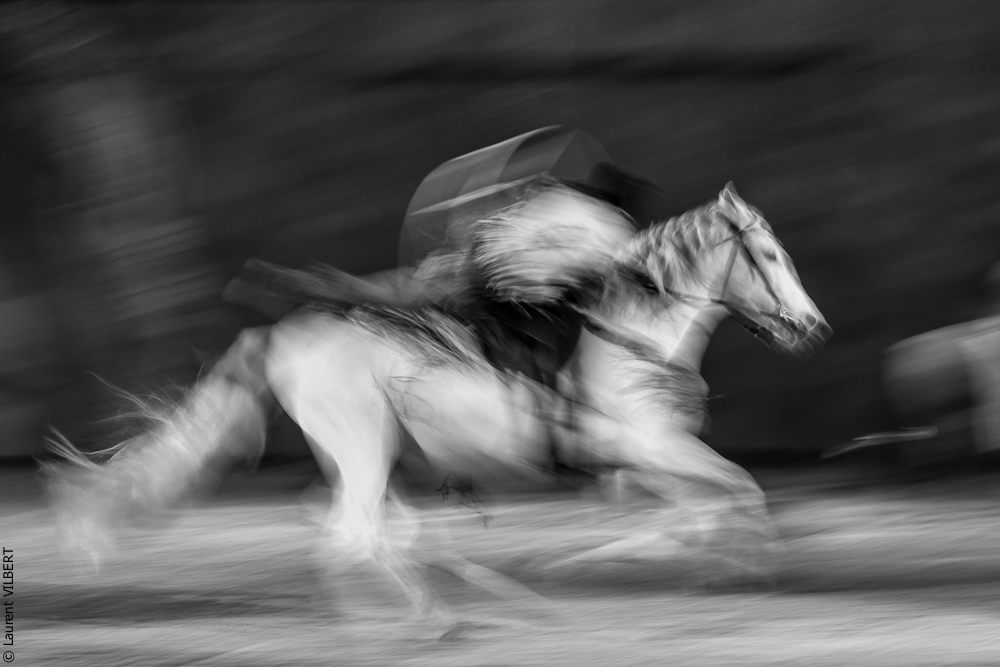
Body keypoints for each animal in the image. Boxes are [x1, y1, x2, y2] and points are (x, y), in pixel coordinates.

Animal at [48, 183, 828, 627]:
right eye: (768, 255)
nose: (812, 326)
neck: (631, 333)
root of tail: (282, 336)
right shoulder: (645, 445)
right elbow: (739, 487)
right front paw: (750, 567)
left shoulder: (647, 459)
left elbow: (703, 506)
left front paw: (712, 567)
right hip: (364, 444)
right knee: (352, 532)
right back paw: (429, 617)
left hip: (365, 452)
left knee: (360, 526)